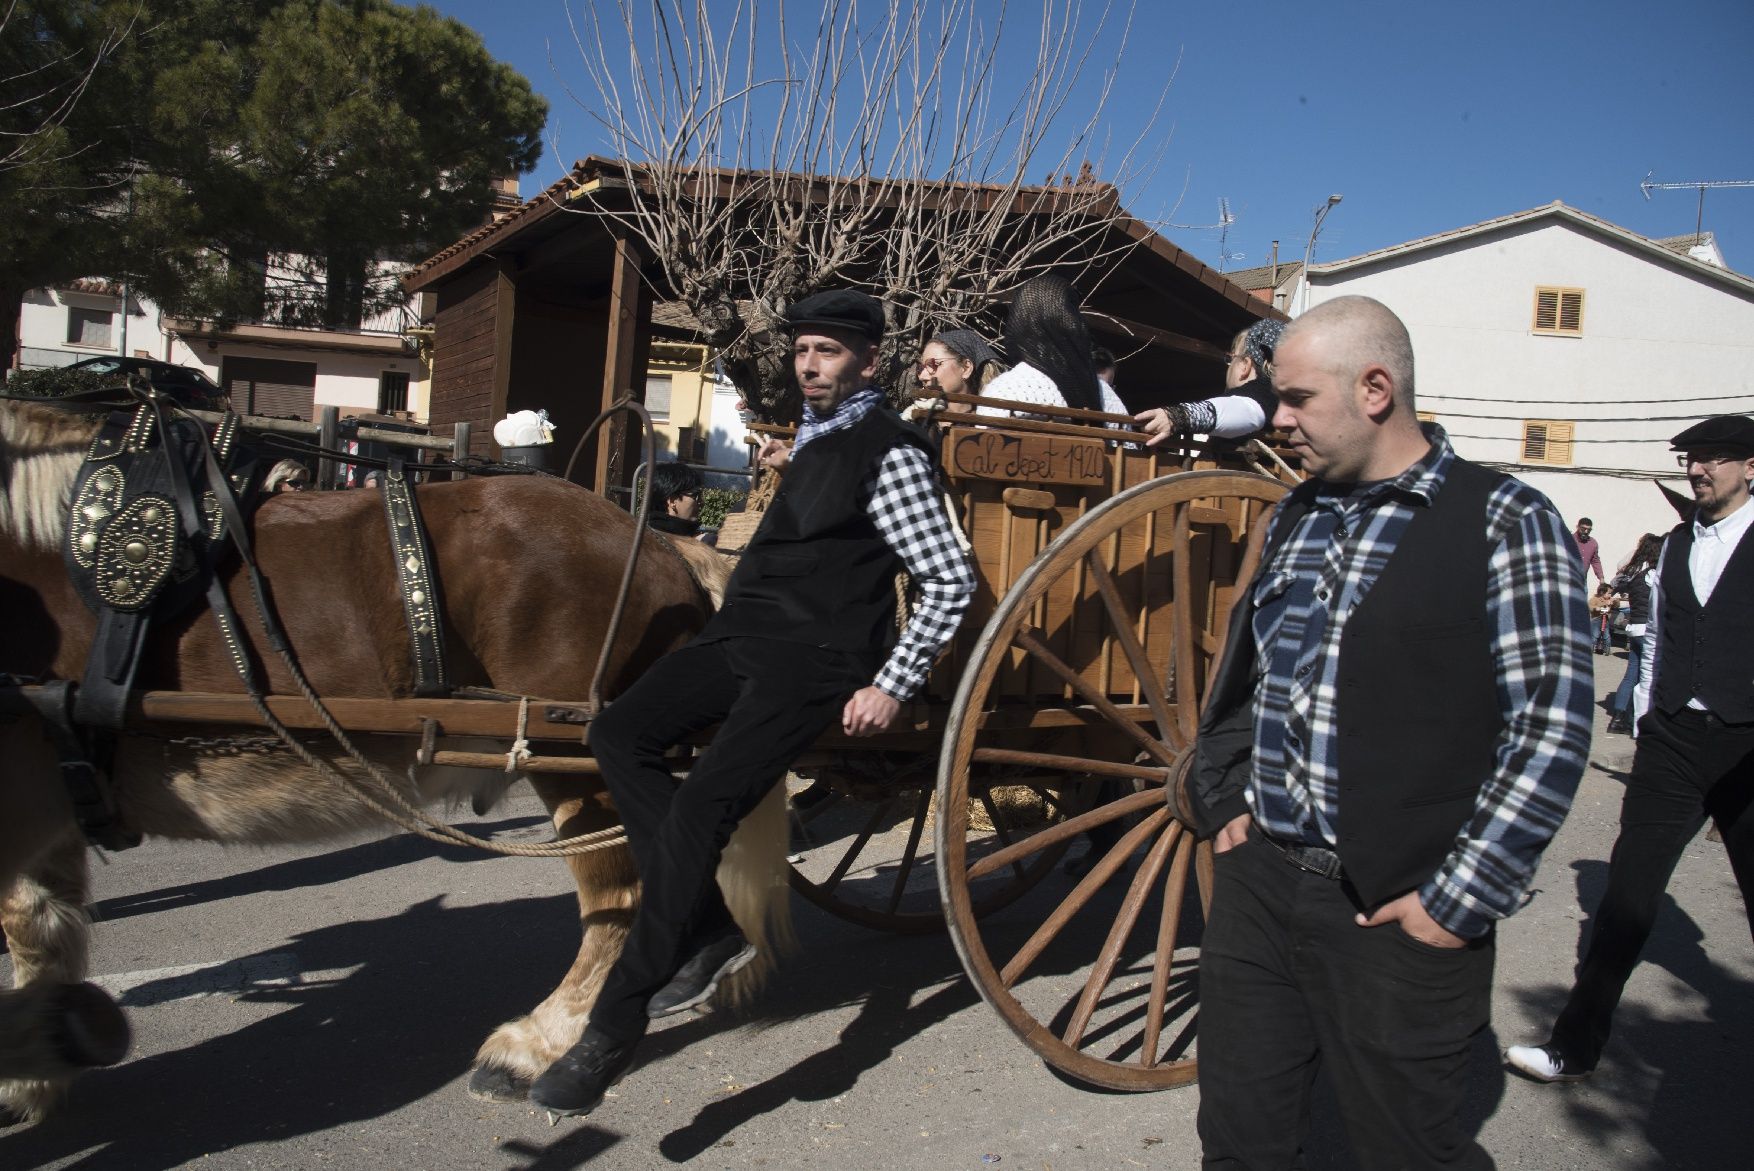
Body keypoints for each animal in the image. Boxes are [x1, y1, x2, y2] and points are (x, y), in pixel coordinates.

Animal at [0, 399, 782, 1121]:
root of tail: (659, 542)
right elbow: (37, 925)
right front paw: (34, 1071)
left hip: (574, 755)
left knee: (619, 892)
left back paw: (543, 1046)